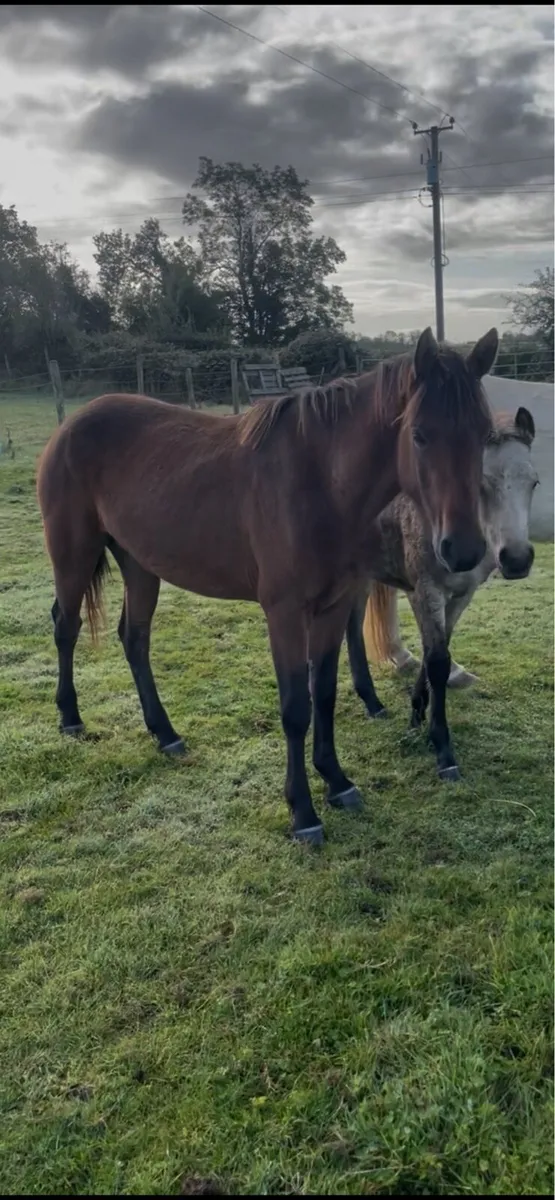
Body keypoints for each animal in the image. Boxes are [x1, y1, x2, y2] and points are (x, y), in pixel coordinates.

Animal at [36, 326, 497, 845]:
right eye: (419, 434)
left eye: (485, 434)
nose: (463, 549)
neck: (319, 483)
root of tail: (71, 425)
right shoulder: (284, 613)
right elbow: (296, 706)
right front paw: (304, 813)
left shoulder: (333, 607)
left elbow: (324, 694)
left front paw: (337, 781)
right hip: (72, 554)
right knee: (66, 627)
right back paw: (71, 718)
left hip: (139, 564)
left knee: (134, 639)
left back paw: (166, 734)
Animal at [344, 406, 537, 780]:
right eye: (480, 484)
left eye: (533, 482)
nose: (517, 560)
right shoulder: (425, 589)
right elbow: (436, 660)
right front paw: (443, 750)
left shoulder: (463, 593)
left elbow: (438, 646)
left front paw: (417, 714)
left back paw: (373, 702)